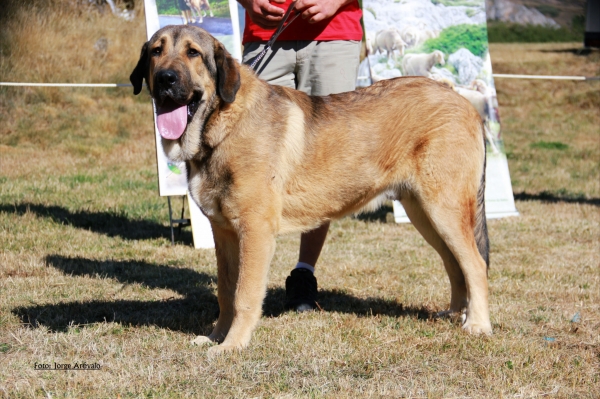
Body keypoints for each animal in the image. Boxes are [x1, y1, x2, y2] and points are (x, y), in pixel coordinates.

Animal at [131, 25, 492, 356]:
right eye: (156, 51)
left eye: (193, 53)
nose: (165, 79)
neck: (222, 125)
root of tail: (464, 103)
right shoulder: (224, 233)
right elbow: (225, 291)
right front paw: (216, 335)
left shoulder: (254, 232)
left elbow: (244, 295)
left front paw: (232, 345)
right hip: (424, 213)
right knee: (454, 264)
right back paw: (455, 314)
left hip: (444, 210)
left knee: (475, 264)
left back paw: (477, 324)